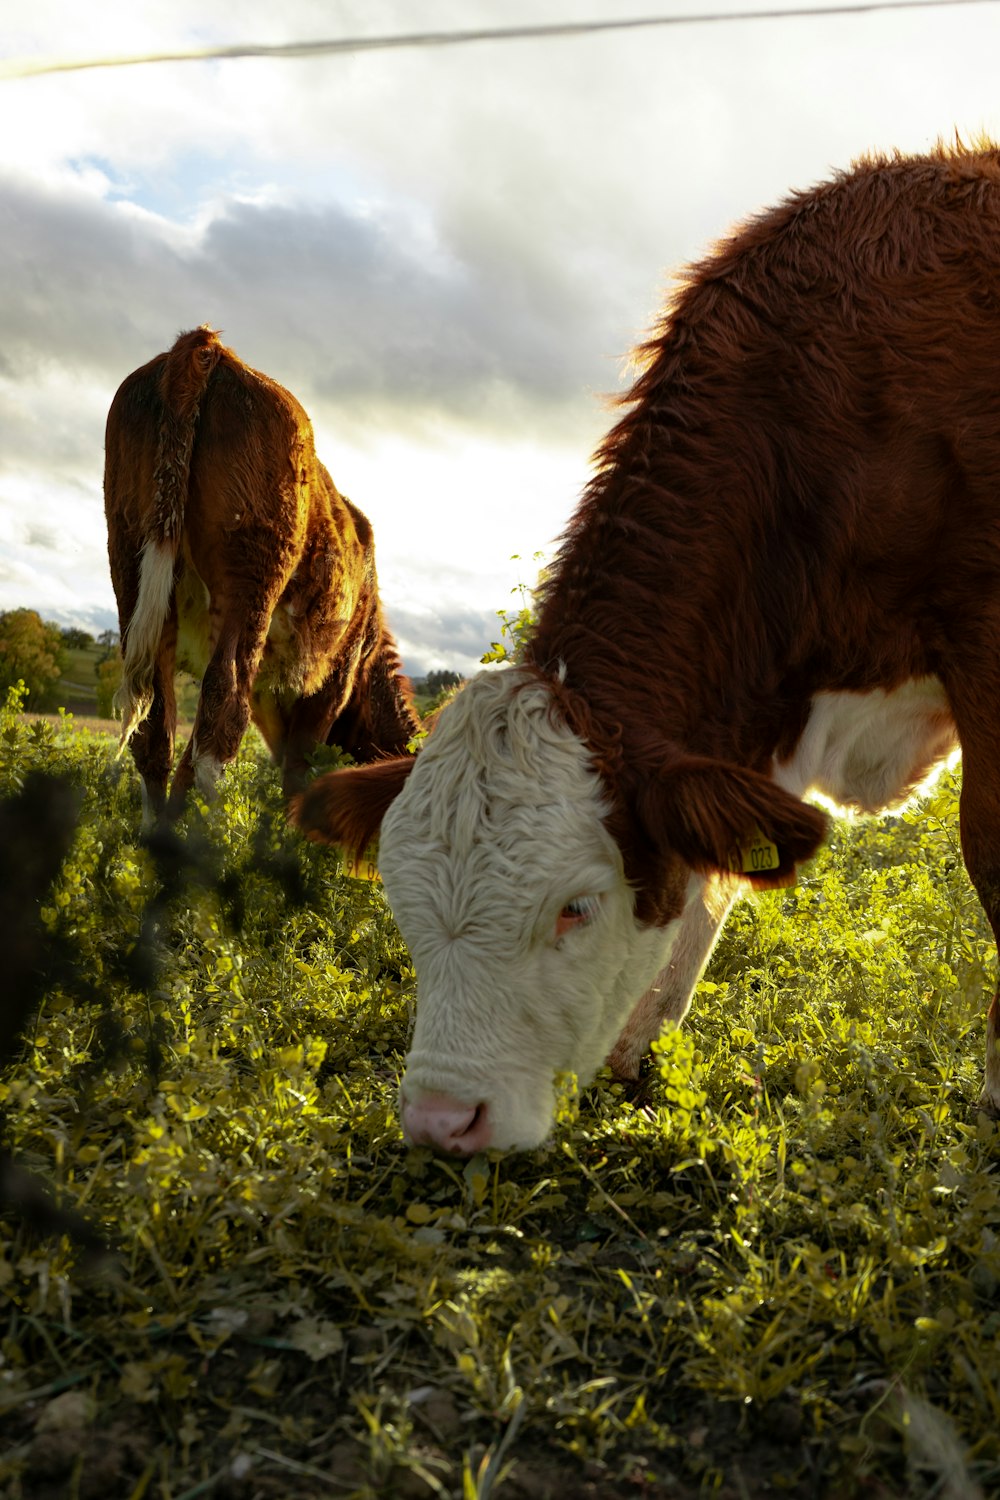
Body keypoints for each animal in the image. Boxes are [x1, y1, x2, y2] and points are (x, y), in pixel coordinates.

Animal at [107, 325, 419, 834]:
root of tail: (210, 348)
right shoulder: (335, 677)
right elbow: (297, 768)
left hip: (130, 554)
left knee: (157, 729)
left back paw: (157, 838)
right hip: (253, 577)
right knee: (223, 713)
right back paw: (216, 838)